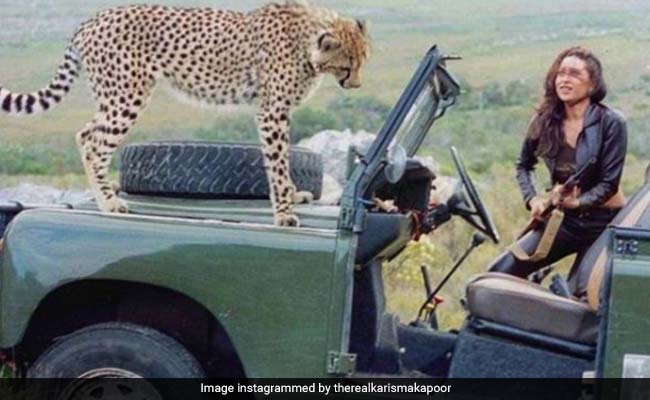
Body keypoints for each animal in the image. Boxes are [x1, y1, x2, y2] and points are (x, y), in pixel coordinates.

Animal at [0, 1, 370, 227]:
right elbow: (277, 163)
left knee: (84, 133)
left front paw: (293, 195)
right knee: (93, 143)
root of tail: (93, 18)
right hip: (126, 95)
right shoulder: (272, 111)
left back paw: (106, 194)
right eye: (346, 65)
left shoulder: (275, 111)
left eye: (363, 61)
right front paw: (284, 214)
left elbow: (282, 161)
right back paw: (109, 204)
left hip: (111, 96)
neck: (307, 39)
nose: (356, 85)